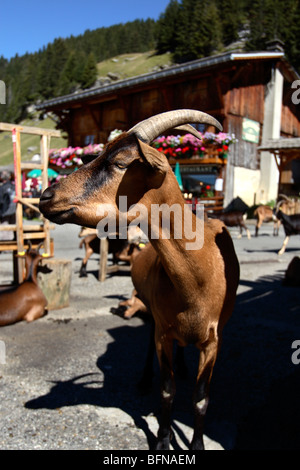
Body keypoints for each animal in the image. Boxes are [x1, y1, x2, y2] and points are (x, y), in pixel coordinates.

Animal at [39, 108, 239, 450]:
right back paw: (145, 378)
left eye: (120, 163)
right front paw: (162, 440)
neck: (199, 276)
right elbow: (167, 390)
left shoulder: (214, 340)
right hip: (153, 315)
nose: (45, 196)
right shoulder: (163, 330)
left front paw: (196, 444)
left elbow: (201, 398)